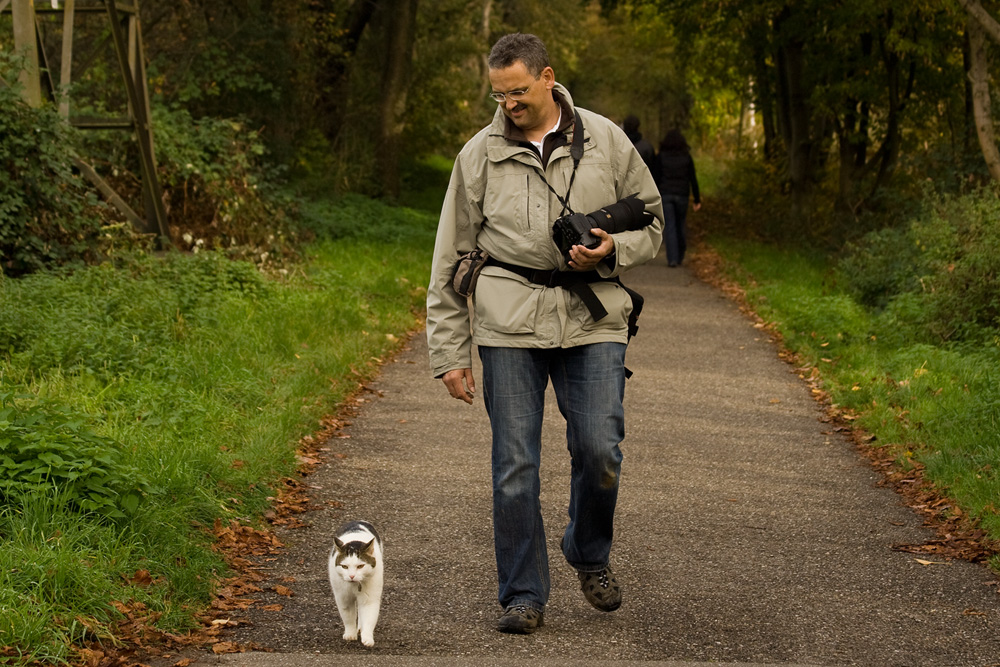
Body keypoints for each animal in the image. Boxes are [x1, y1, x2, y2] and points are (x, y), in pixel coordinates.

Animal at [332, 520, 386, 648]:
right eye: (344, 566)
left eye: (360, 566)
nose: (352, 576)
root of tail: (358, 521)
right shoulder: (343, 598)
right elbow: (348, 617)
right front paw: (350, 634)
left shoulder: (370, 598)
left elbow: (369, 617)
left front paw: (367, 638)